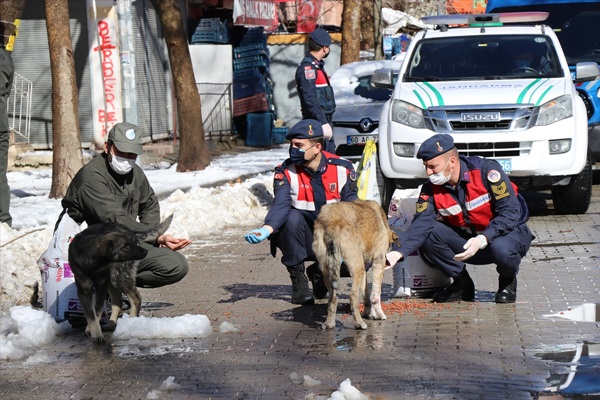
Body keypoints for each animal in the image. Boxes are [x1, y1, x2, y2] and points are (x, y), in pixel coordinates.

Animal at [68, 216, 172, 344]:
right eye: (125, 246)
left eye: (130, 244)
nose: (145, 251)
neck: (94, 264)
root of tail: (130, 230)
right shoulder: (84, 291)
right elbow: (91, 314)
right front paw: (93, 330)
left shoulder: (101, 287)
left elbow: (97, 311)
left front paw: (96, 334)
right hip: (113, 279)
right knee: (118, 301)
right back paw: (111, 324)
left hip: (118, 277)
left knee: (136, 298)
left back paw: (131, 323)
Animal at [312, 198, 396, 330]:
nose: (388, 262)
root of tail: (332, 222)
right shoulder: (378, 262)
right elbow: (375, 295)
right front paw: (379, 314)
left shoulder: (364, 269)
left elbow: (366, 293)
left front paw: (368, 313)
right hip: (357, 268)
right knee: (352, 296)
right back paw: (359, 323)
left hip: (329, 270)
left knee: (332, 298)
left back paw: (329, 323)